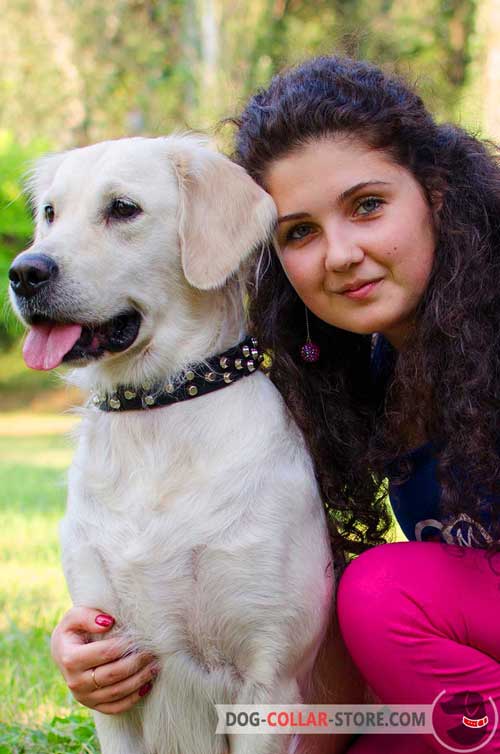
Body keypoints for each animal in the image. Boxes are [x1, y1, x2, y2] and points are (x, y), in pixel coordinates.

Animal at [10, 137, 340, 752]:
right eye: (49, 213)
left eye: (123, 208)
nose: (24, 272)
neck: (155, 411)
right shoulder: (111, 671)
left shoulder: (269, 682)